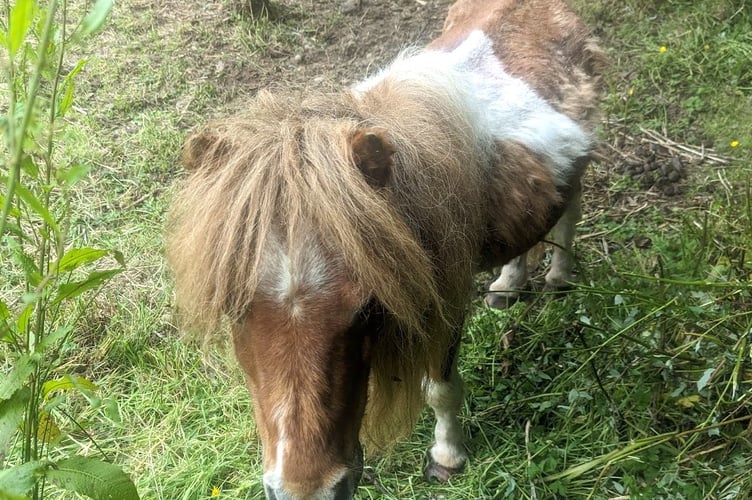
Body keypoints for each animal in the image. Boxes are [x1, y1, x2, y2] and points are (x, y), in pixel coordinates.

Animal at [166, 1, 604, 498]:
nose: (308, 491)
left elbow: (440, 389)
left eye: (368, 311)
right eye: (233, 310)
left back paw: (558, 278)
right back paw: (509, 285)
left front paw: (447, 457)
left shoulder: (445, 305)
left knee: (571, 211)